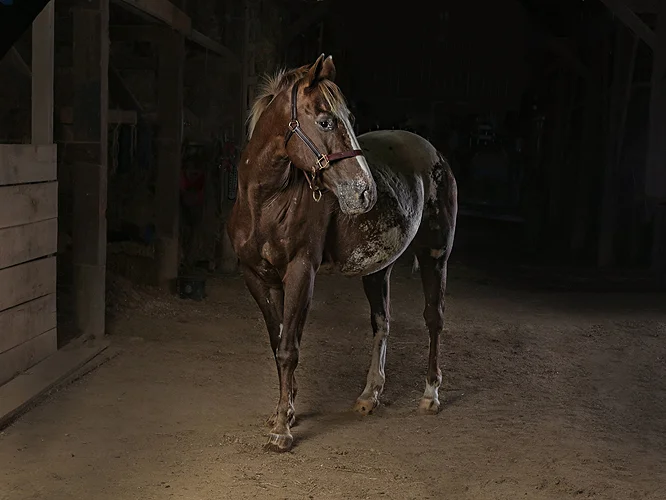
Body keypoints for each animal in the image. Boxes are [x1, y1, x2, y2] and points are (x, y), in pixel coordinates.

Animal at [227, 54, 458, 452]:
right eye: (325, 121)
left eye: (349, 118)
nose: (365, 191)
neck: (266, 204)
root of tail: (436, 154)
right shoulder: (256, 277)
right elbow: (278, 341)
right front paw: (285, 411)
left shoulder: (301, 273)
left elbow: (289, 348)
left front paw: (282, 430)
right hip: (377, 269)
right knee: (382, 323)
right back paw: (369, 395)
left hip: (435, 255)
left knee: (434, 319)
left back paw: (430, 394)